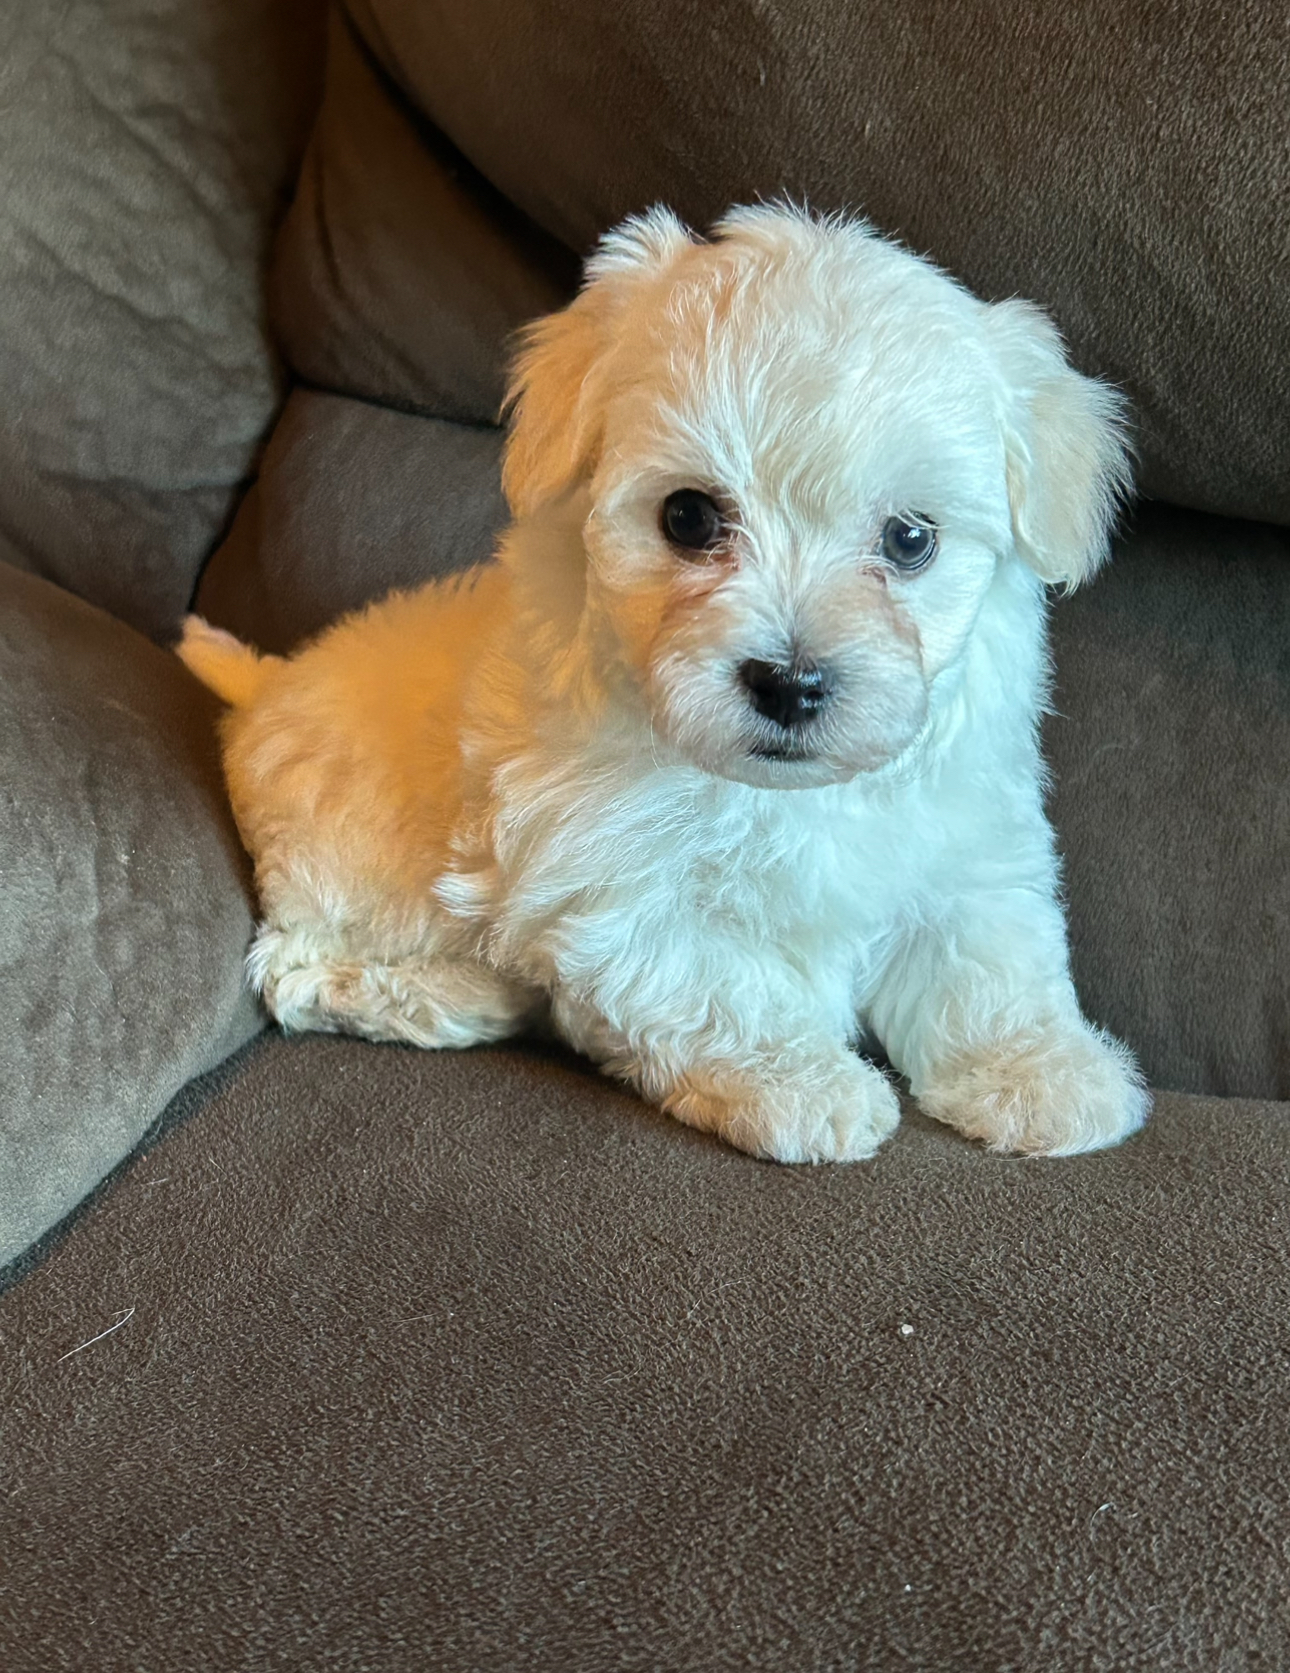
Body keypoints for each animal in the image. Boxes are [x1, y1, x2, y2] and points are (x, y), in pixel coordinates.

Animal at [179, 199, 1151, 1164]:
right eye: (687, 516)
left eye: (911, 538)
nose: (791, 683)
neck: (781, 792)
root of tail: (265, 685)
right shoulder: (609, 878)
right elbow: (721, 984)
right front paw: (804, 1084)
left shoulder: (966, 838)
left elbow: (987, 959)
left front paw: (1040, 1072)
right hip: (355, 865)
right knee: (290, 967)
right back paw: (454, 995)